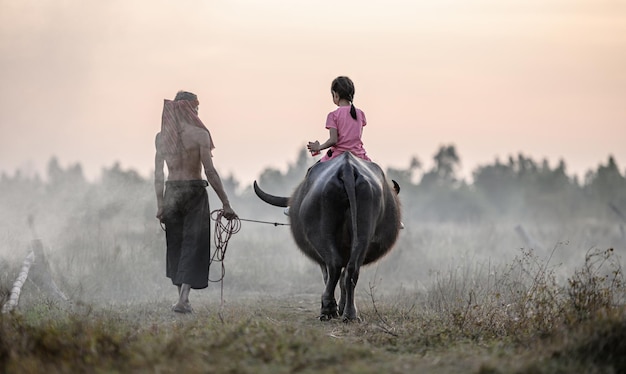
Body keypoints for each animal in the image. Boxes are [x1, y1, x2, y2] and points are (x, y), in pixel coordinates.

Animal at [252, 152, 400, 322]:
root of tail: (347, 169)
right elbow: (343, 277)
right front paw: (342, 306)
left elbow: (328, 275)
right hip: (365, 226)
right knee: (352, 268)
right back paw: (350, 314)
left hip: (321, 229)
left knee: (334, 265)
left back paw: (327, 309)